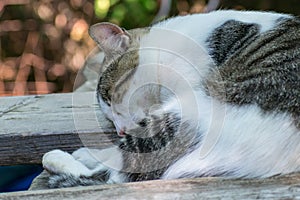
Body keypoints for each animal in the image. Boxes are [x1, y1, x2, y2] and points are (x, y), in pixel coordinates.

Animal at [42, 9, 300, 188]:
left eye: (112, 98)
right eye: (108, 118)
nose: (120, 131)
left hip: (186, 112)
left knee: (117, 174)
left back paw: (56, 157)